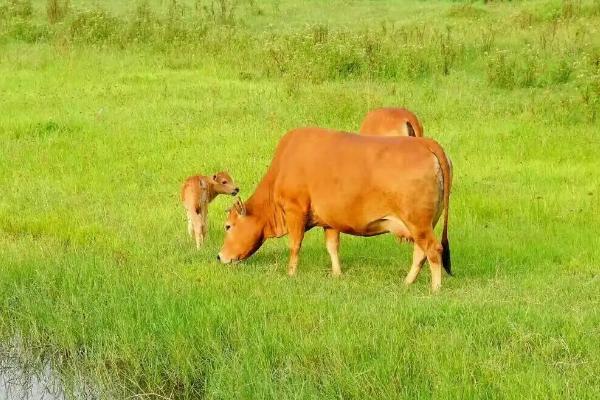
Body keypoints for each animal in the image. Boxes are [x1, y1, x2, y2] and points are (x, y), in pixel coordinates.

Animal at [218, 127, 452, 290]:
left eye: (228, 226)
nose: (219, 257)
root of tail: (426, 143)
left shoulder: (295, 212)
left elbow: (294, 245)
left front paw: (291, 273)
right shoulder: (329, 221)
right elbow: (332, 247)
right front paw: (337, 274)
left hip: (418, 223)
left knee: (433, 250)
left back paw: (435, 288)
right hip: (423, 224)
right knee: (420, 253)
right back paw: (407, 282)